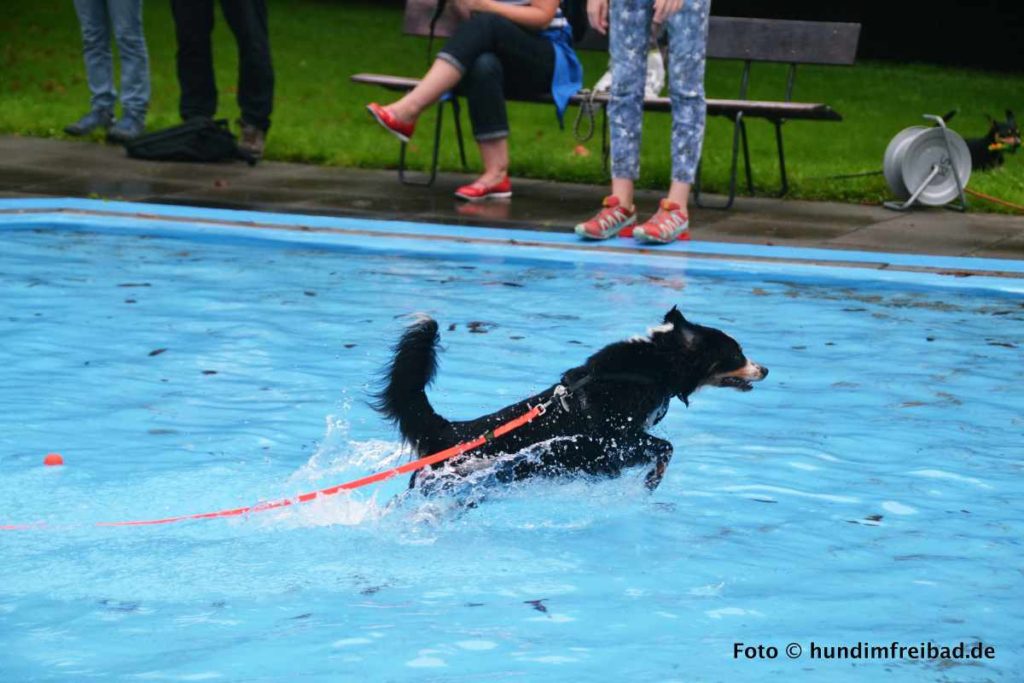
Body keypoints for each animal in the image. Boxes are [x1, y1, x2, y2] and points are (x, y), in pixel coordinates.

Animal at [376, 307, 770, 493]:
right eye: (737, 354)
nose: (765, 369)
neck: (651, 365)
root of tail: (448, 431)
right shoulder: (617, 439)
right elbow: (665, 448)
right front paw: (651, 481)